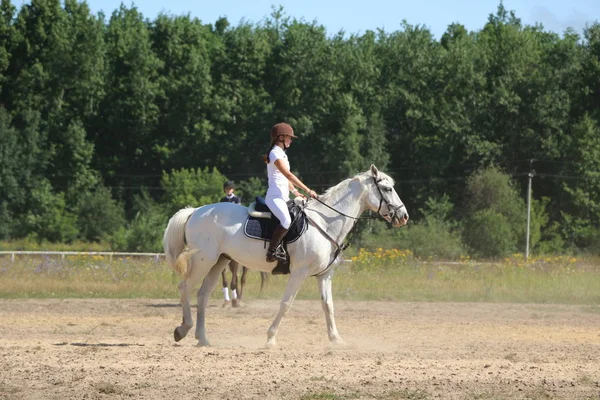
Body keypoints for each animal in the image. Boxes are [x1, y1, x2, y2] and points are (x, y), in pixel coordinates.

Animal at [163, 165, 408, 346]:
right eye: (387, 189)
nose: (403, 216)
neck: (325, 222)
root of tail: (196, 211)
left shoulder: (324, 275)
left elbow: (328, 305)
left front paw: (336, 339)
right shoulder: (299, 273)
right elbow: (286, 304)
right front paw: (270, 338)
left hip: (219, 261)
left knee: (203, 296)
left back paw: (202, 338)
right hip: (203, 260)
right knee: (185, 287)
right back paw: (182, 329)